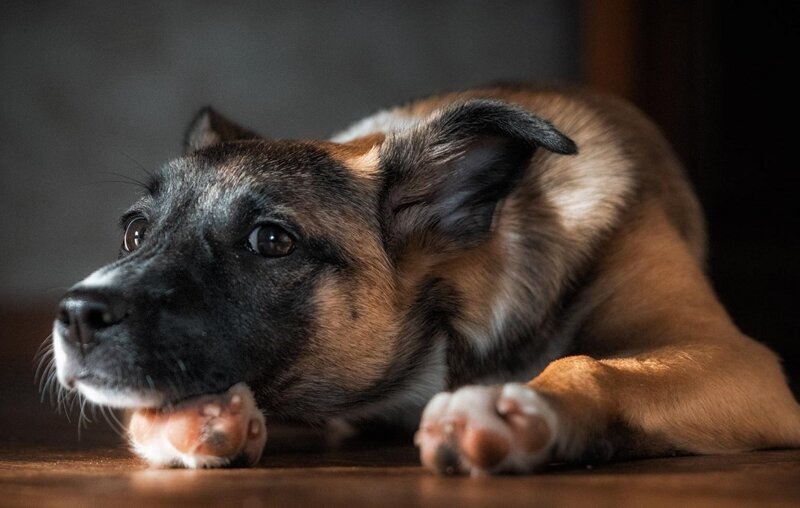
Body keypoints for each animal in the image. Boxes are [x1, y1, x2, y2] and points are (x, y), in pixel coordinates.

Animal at [50, 85, 800, 474]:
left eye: (271, 241)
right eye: (134, 232)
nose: (77, 315)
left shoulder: (733, 358)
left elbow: (595, 364)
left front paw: (514, 407)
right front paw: (191, 418)